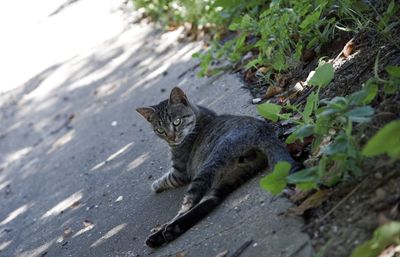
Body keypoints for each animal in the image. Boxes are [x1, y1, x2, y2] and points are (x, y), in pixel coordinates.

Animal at [135, 87, 300, 247]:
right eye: (160, 130)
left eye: (176, 122)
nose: (171, 138)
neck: (199, 114)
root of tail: (261, 130)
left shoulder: (179, 172)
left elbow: (167, 178)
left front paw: (155, 185)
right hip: (229, 177)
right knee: (209, 202)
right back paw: (169, 232)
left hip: (209, 167)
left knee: (187, 206)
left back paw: (164, 230)